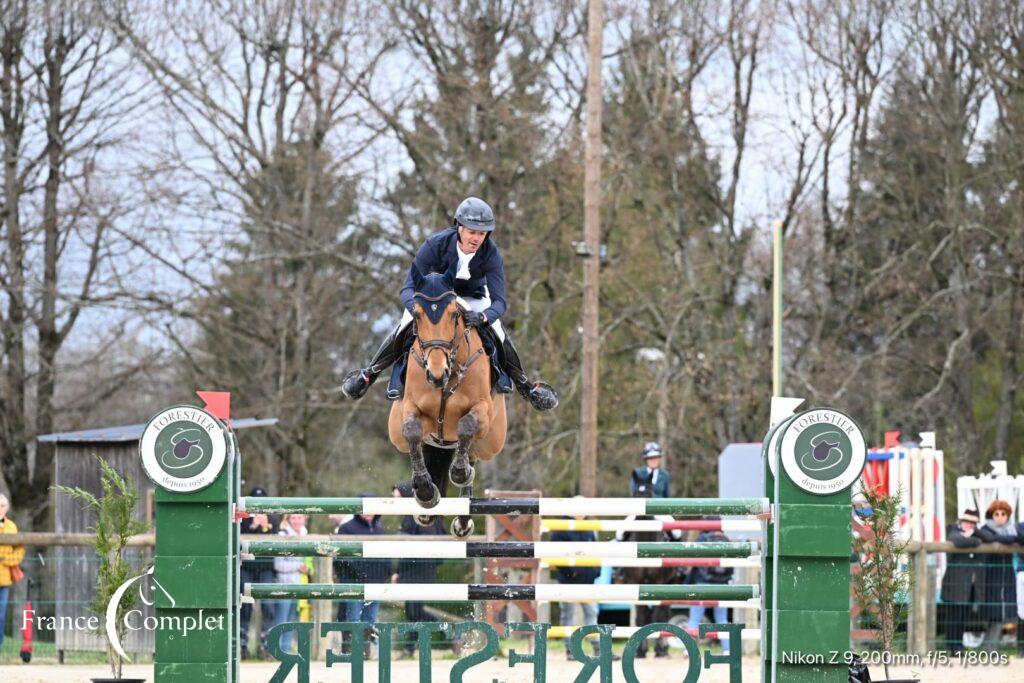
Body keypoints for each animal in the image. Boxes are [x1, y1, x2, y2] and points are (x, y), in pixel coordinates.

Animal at [387, 264, 507, 536]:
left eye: (453, 315)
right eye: (417, 315)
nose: (436, 373)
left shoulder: (482, 410)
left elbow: (467, 426)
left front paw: (461, 473)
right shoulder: (411, 408)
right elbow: (411, 432)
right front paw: (425, 491)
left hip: (491, 441)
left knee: (471, 451)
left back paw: (463, 517)